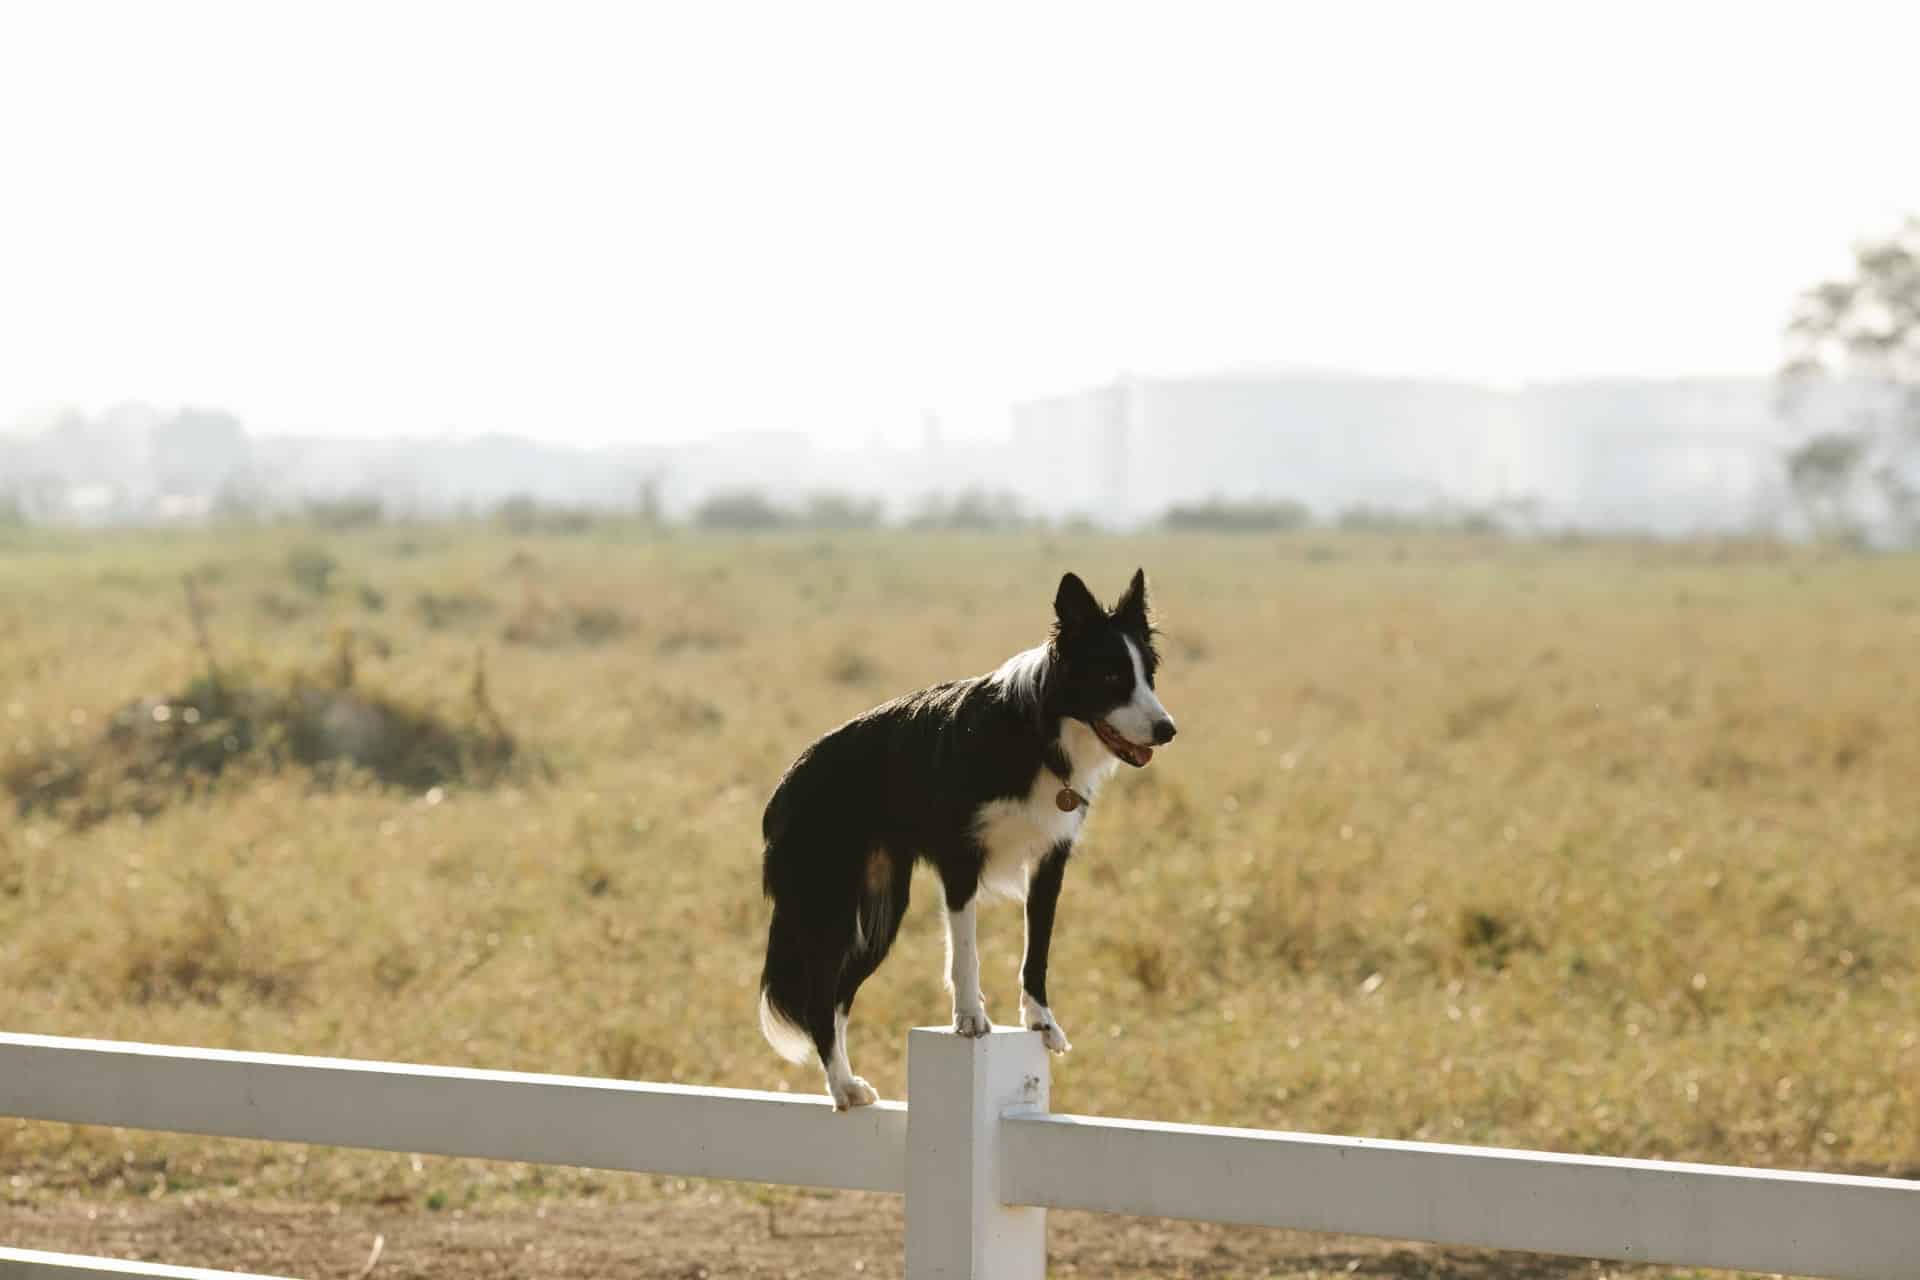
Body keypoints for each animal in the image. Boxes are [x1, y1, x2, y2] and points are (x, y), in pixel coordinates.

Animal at [748, 571, 1167, 1113]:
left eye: (1149, 675)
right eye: (1112, 677)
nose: (1167, 729)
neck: (1036, 733)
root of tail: (785, 783)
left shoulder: (1049, 860)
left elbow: (1038, 951)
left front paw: (1041, 1022)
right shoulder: (960, 859)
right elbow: (965, 950)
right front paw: (970, 1019)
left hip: (880, 910)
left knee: (839, 995)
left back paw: (850, 1083)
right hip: (830, 904)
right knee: (820, 998)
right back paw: (842, 1088)